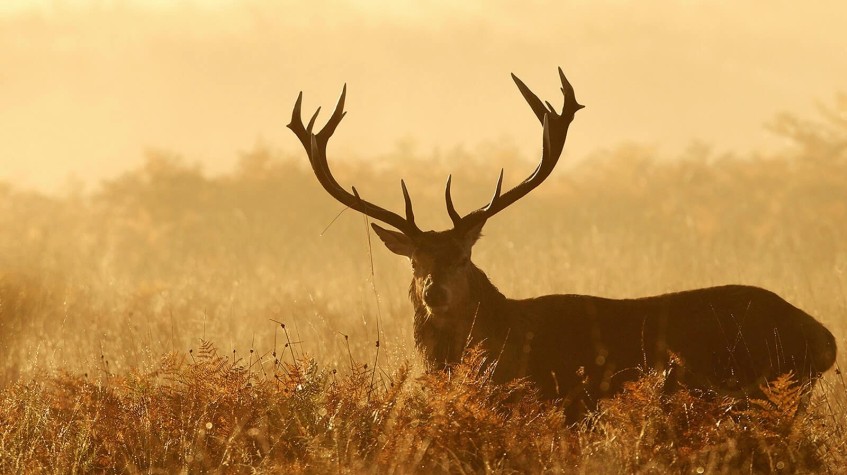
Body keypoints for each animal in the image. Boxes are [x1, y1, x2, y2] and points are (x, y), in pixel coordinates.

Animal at [287, 68, 838, 421]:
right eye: (415, 261)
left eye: (464, 258)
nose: (434, 292)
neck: (504, 342)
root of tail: (825, 340)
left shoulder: (561, 402)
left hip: (761, 391)